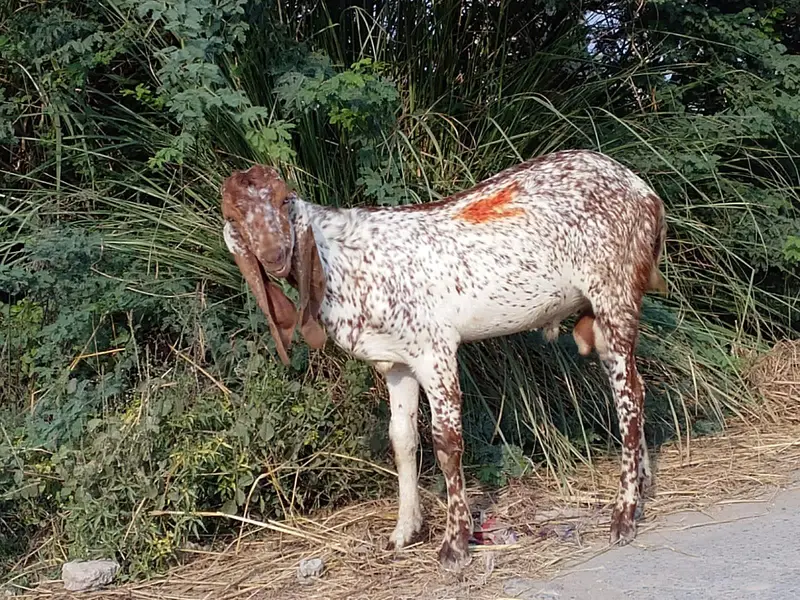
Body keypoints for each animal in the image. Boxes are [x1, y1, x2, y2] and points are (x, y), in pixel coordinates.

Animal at [220, 149, 667, 571]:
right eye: (234, 216)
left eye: (283, 201)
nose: (275, 255)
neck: (340, 259)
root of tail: (645, 193)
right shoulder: (397, 362)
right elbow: (401, 438)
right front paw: (404, 532)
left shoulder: (433, 350)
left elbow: (447, 442)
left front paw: (454, 545)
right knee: (634, 385)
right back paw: (642, 484)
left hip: (613, 290)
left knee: (629, 397)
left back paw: (624, 516)